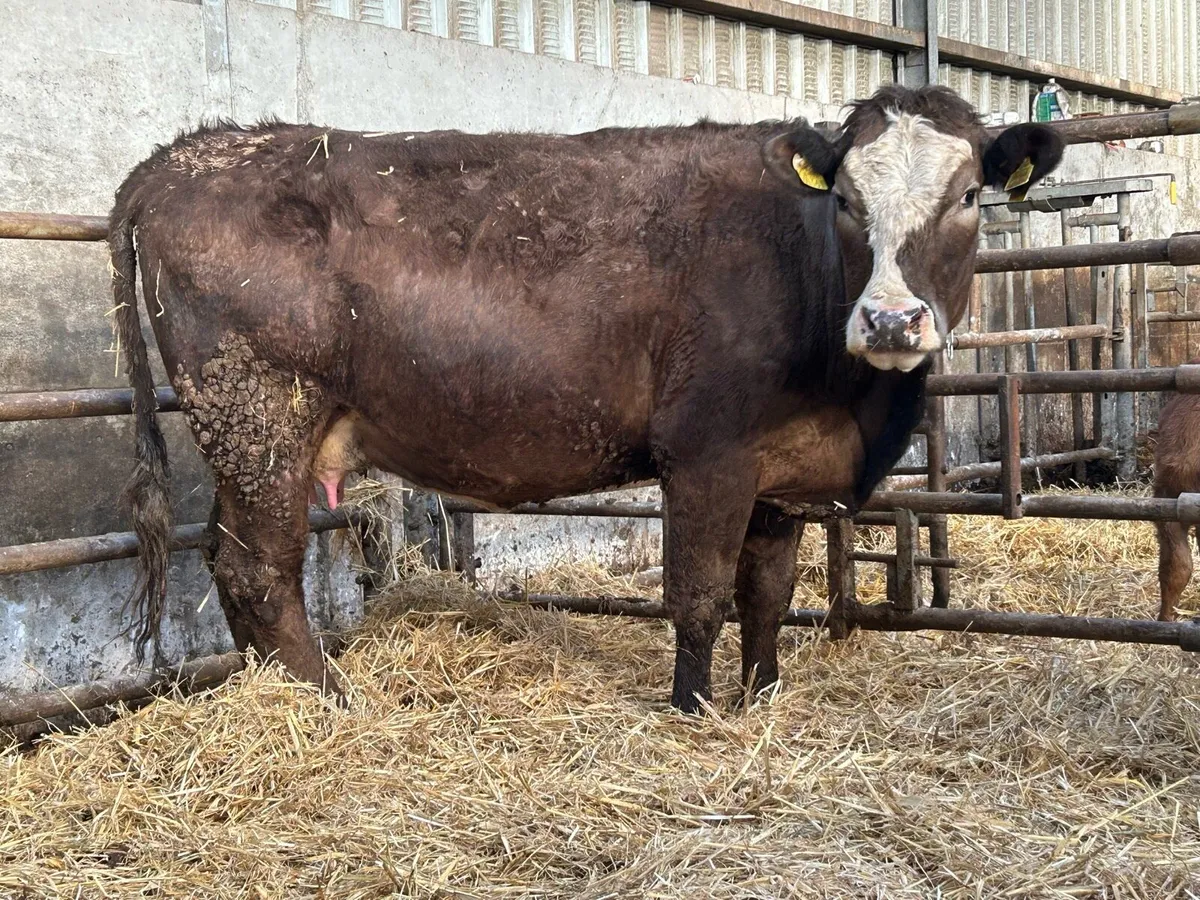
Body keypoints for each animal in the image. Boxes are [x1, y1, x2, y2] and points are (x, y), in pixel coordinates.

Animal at [109, 85, 1062, 712]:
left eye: (969, 195)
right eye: (851, 203)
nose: (893, 319)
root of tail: (188, 155)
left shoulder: (780, 473)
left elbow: (766, 593)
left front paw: (761, 696)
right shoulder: (706, 452)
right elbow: (699, 592)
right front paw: (694, 707)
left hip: (246, 433)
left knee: (228, 561)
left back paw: (271, 686)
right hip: (259, 414)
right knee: (259, 568)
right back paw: (326, 697)